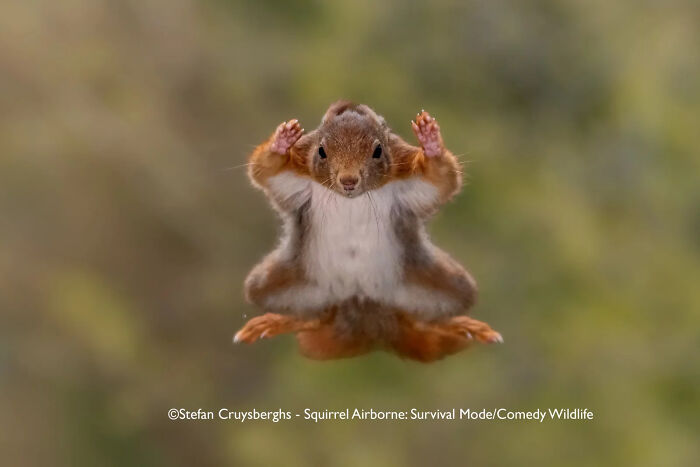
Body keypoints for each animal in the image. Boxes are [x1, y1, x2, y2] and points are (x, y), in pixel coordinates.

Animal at [234, 101, 502, 362]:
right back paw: (279, 321)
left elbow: (441, 180)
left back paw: (459, 325)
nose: (348, 181)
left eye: (378, 151)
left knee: (421, 319)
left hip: (442, 283)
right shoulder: (297, 175)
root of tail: (364, 310)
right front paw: (281, 143)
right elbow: (265, 172)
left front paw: (431, 143)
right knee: (314, 317)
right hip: (278, 283)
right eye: (321, 151)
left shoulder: (406, 176)